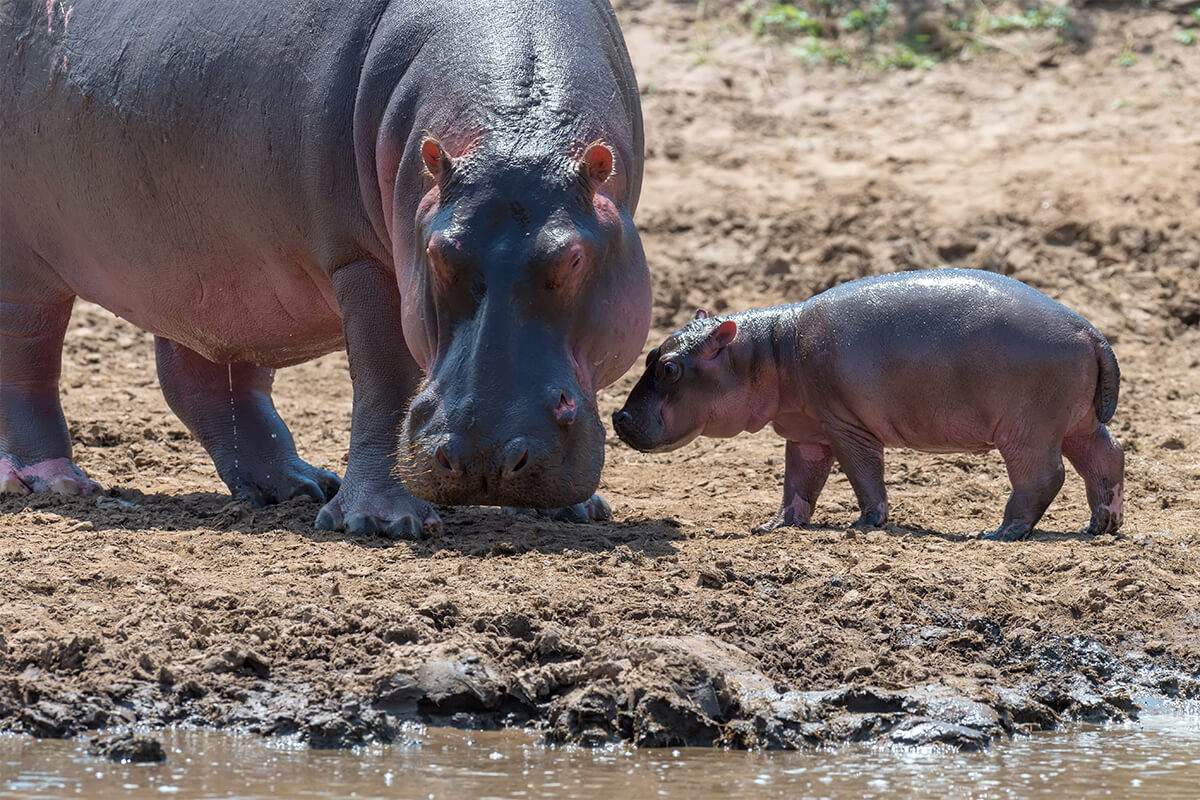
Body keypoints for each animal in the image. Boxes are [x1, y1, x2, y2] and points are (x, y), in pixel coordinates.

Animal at [2, 1, 657, 537]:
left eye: (573, 257)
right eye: (437, 253)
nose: (484, 461)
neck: (515, 134)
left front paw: (578, 509)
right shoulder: (363, 258)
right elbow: (384, 379)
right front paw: (380, 521)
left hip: (220, 267)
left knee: (207, 377)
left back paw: (297, 485)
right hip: (26, 269)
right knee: (28, 361)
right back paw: (52, 482)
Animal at [614, 271, 1118, 544]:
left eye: (671, 369)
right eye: (651, 354)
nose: (618, 417)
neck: (769, 350)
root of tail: (1090, 331)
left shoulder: (844, 424)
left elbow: (862, 474)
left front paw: (867, 523)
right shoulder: (806, 429)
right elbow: (798, 482)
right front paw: (774, 526)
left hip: (1027, 428)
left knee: (1042, 476)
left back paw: (1000, 533)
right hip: (1076, 421)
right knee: (1106, 456)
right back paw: (1100, 525)